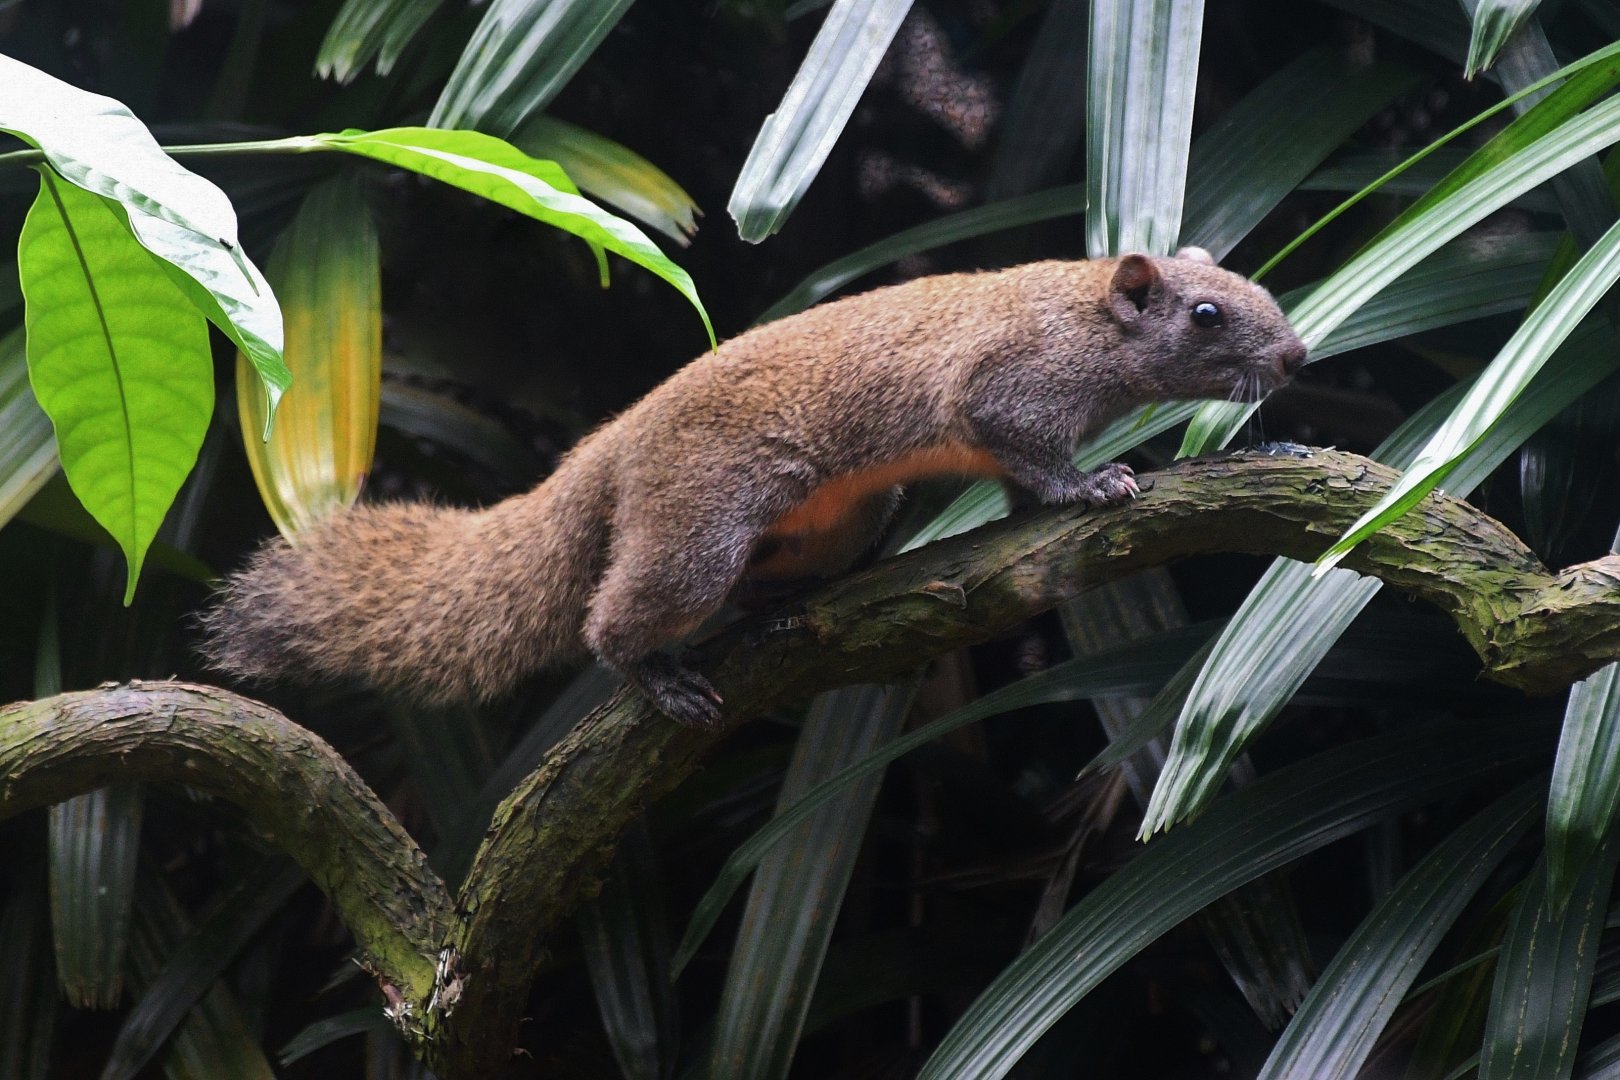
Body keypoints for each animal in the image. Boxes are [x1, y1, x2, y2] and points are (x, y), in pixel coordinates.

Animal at [200, 248, 1306, 727]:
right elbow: (1026, 449)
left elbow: (1015, 488)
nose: (1297, 357)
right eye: (1207, 314)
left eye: (1256, 287)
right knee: (615, 618)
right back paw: (660, 676)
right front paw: (1096, 485)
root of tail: (614, 446)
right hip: (698, 523)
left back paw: (792, 602)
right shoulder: (1009, 387)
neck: (1080, 309)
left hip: (846, 516)